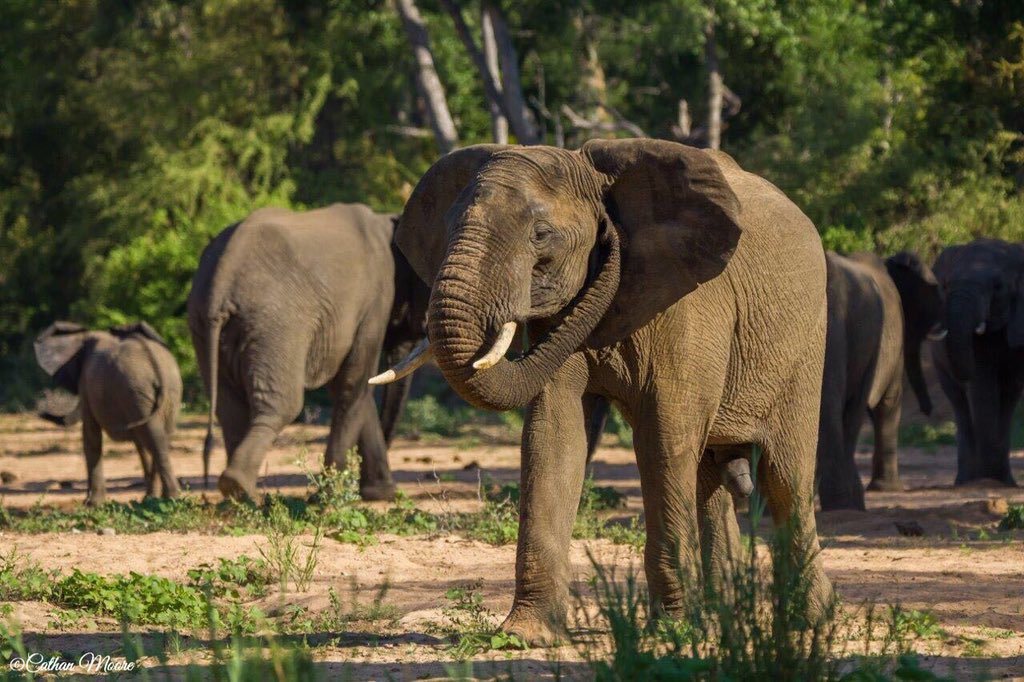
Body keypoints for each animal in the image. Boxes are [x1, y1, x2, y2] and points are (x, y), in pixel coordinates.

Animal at [34, 321, 183, 504]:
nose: (41, 407)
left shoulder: (86, 385)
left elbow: (90, 435)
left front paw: (92, 504)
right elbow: (139, 443)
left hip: (137, 391)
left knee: (154, 439)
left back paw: (170, 498)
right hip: (166, 393)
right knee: (159, 437)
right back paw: (158, 499)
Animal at [187, 203, 429, 502]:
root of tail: (221, 280)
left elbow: (351, 386)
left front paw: (379, 493)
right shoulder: (374, 301)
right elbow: (355, 384)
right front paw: (330, 498)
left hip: (205, 325)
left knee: (229, 409)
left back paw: (238, 495)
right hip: (277, 324)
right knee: (284, 404)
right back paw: (244, 489)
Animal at [375, 139, 832, 643]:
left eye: (541, 235)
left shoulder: (690, 304)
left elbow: (663, 439)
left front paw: (673, 632)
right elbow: (553, 432)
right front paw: (526, 634)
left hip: (806, 342)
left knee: (784, 475)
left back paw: (810, 620)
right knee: (708, 478)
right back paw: (725, 622)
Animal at [927, 238, 1024, 486]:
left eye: (998, 286)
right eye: (945, 285)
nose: (987, 479)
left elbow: (1009, 390)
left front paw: (1002, 482)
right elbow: (982, 385)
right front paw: (989, 480)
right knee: (958, 401)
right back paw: (964, 482)